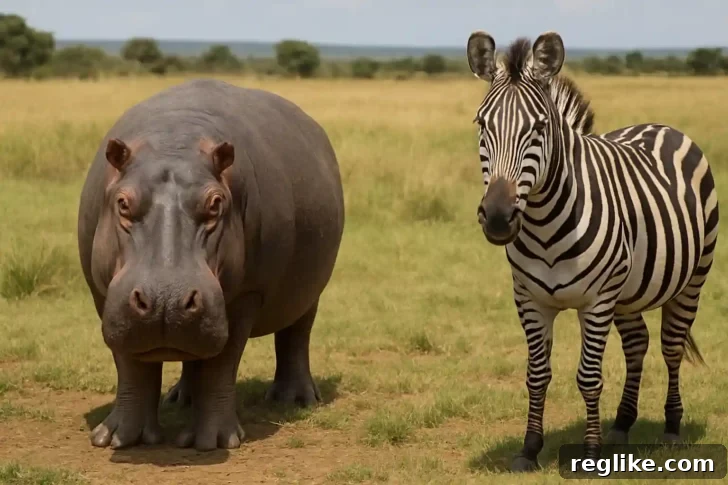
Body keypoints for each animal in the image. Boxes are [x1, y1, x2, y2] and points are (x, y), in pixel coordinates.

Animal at [77, 78, 345, 451]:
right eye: (123, 202)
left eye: (216, 203)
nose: (165, 299)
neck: (174, 140)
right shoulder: (105, 295)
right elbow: (131, 365)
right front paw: (115, 438)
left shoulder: (246, 294)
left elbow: (222, 363)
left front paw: (213, 442)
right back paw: (181, 399)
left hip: (309, 290)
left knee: (296, 335)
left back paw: (294, 400)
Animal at [465, 30, 719, 472]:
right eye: (482, 124)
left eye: (539, 128)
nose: (497, 217)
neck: (546, 224)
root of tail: (659, 125)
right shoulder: (529, 300)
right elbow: (537, 373)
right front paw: (529, 449)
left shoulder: (597, 301)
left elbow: (588, 376)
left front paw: (590, 452)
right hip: (629, 293)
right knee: (637, 344)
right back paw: (622, 424)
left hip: (693, 277)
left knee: (671, 346)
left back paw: (671, 428)